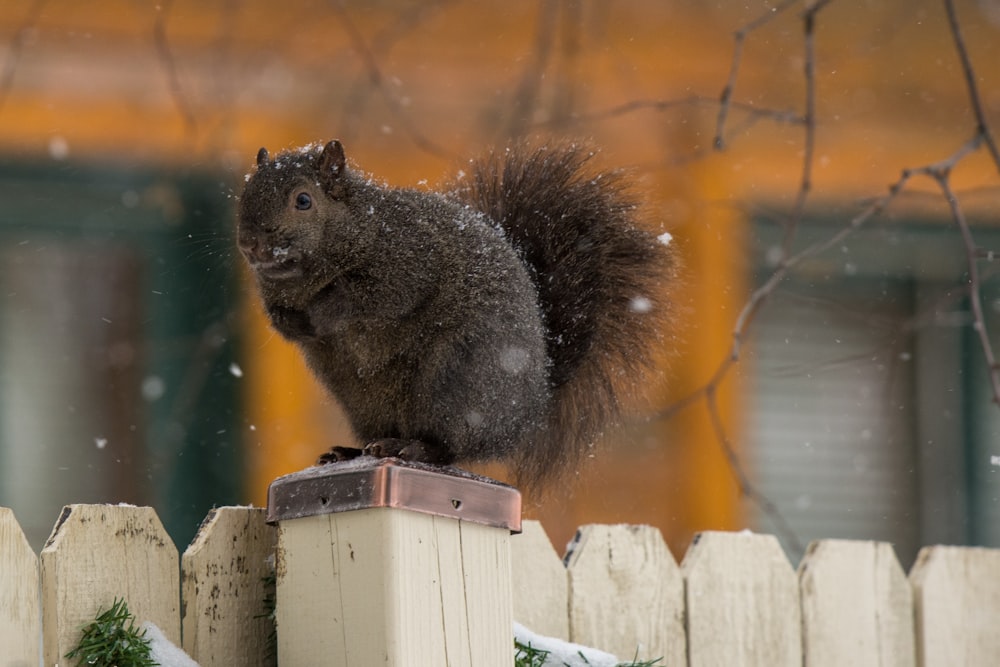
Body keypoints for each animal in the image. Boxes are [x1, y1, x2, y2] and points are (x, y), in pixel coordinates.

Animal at [237, 141, 676, 488]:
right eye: (245, 192)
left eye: (303, 200)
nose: (249, 244)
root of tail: (530, 408)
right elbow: (283, 321)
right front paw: (293, 321)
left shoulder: (408, 259)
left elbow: (380, 296)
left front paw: (324, 309)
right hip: (364, 400)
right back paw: (352, 451)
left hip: (456, 380)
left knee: (449, 447)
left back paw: (412, 447)